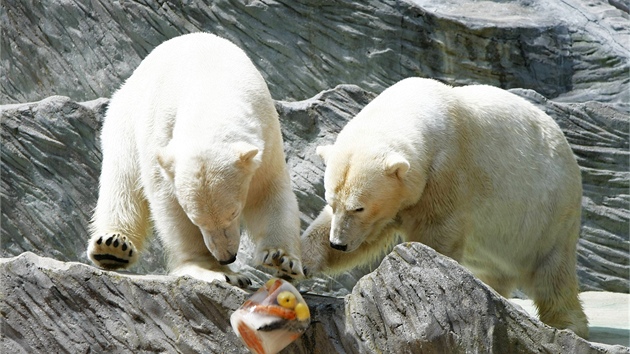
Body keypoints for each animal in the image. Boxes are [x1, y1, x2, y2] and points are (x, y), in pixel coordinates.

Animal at [88, 32, 304, 288]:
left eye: (234, 213)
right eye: (197, 220)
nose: (226, 257)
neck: (210, 89)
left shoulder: (266, 131)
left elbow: (268, 191)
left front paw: (283, 260)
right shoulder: (161, 136)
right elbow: (169, 203)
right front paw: (215, 270)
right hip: (125, 119)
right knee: (122, 180)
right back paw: (112, 246)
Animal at [304, 77, 592, 338]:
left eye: (359, 208)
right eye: (332, 201)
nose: (339, 243)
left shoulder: (446, 170)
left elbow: (435, 231)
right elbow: (360, 232)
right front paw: (300, 261)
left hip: (549, 211)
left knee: (552, 270)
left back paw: (568, 324)